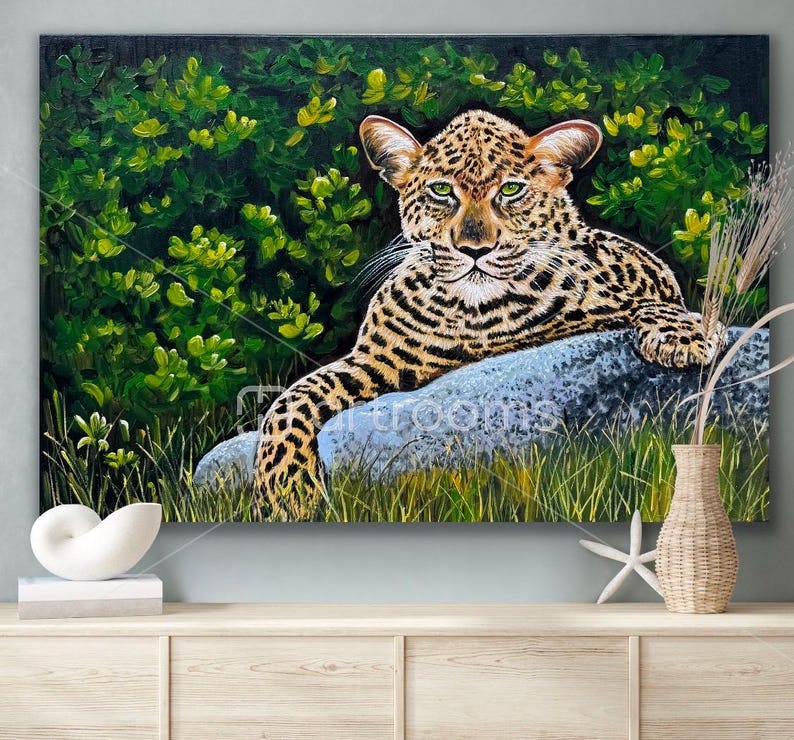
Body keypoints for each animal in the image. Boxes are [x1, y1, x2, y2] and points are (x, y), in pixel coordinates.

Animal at [252, 109, 725, 521]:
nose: (474, 249)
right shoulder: (377, 361)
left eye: (511, 190)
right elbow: (291, 397)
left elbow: (647, 301)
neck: (475, 315)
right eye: (442, 191)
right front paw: (284, 495)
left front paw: (684, 336)